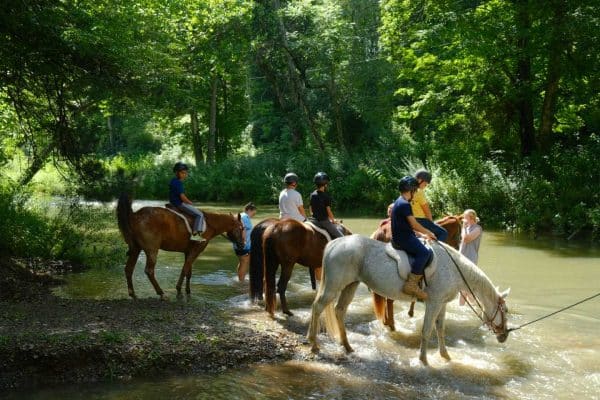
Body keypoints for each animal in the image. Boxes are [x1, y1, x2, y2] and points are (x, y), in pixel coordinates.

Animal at [308, 234, 508, 366]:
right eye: (505, 311)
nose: (504, 336)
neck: (453, 268)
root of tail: (335, 243)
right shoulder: (433, 303)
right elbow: (426, 331)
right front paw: (423, 360)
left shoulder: (442, 304)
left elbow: (440, 330)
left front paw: (446, 356)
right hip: (333, 286)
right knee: (317, 307)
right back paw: (314, 344)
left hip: (351, 285)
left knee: (340, 310)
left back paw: (347, 346)